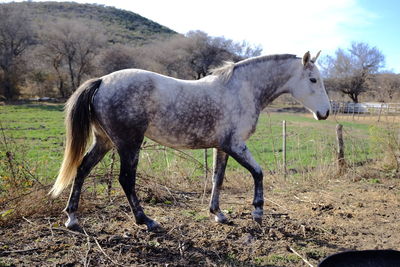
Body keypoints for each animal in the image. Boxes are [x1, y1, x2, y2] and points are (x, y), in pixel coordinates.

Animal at [50, 51, 332, 231]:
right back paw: (147, 221)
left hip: (105, 142)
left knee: (82, 169)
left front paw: (218, 214)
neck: (242, 89)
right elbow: (258, 173)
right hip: (129, 144)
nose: (326, 113)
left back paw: (72, 218)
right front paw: (257, 212)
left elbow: (218, 178)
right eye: (313, 80)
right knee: (126, 180)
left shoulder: (222, 147)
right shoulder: (236, 145)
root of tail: (102, 81)